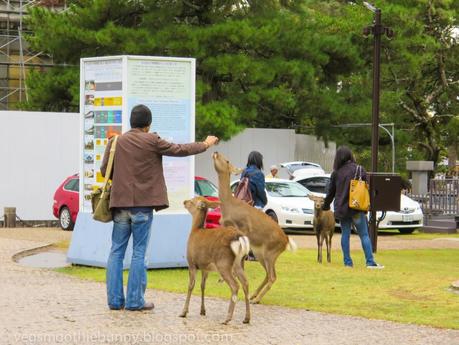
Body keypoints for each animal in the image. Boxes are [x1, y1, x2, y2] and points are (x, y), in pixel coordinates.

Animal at [180, 195, 252, 324]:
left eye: (192, 201)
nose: (184, 201)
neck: (195, 231)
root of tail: (239, 237)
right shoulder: (205, 267)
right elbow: (202, 286)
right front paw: (202, 311)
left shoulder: (191, 262)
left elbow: (190, 286)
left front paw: (184, 312)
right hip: (239, 263)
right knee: (246, 283)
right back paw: (246, 318)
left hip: (224, 263)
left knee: (235, 285)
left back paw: (227, 318)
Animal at [213, 152, 298, 302]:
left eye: (227, 160)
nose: (216, 152)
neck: (228, 207)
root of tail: (286, 241)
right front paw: (224, 277)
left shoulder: (244, 227)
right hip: (261, 253)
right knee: (268, 274)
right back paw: (254, 294)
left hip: (271, 252)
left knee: (272, 276)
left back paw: (256, 299)